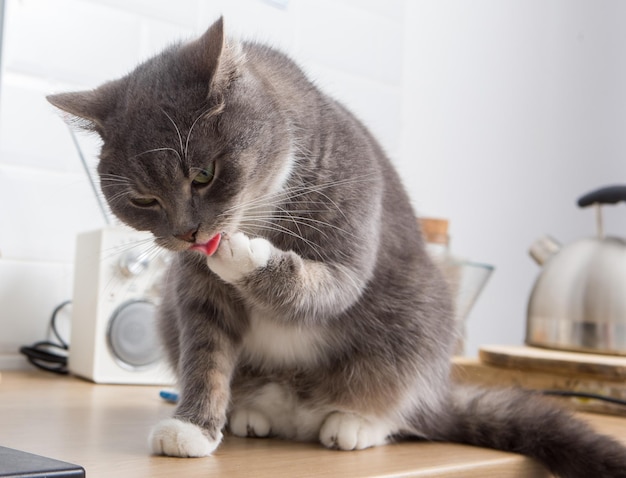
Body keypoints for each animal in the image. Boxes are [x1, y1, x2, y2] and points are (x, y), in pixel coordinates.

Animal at [48, 17, 624, 478]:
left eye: (204, 175)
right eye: (144, 199)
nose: (189, 234)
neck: (263, 205)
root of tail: (300, 410)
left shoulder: (352, 216)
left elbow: (327, 287)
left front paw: (243, 254)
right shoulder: (192, 293)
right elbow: (205, 355)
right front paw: (193, 428)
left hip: (423, 313)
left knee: (399, 399)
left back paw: (356, 421)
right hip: (167, 314)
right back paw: (249, 413)